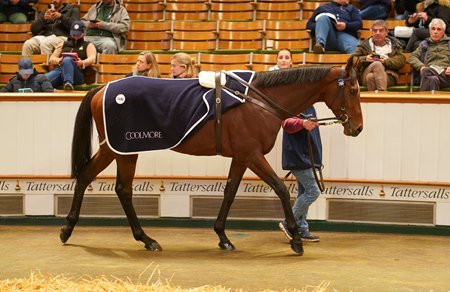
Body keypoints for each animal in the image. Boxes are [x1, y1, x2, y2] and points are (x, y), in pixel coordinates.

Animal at [60, 62, 362, 256]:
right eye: (353, 90)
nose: (357, 127)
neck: (258, 102)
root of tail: (102, 88)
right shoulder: (252, 154)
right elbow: (280, 189)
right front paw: (296, 239)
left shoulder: (241, 156)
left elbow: (229, 192)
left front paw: (223, 237)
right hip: (122, 150)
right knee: (116, 186)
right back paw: (140, 238)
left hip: (118, 150)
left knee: (95, 179)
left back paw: (74, 230)